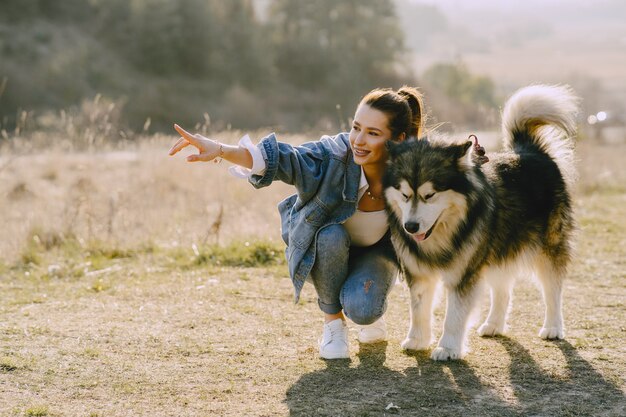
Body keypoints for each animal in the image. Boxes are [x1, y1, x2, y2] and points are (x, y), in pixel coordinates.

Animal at [382, 83, 576, 358]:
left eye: (430, 195)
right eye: (404, 194)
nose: (410, 227)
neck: (446, 232)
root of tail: (528, 150)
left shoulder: (464, 273)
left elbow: (454, 315)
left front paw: (448, 348)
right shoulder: (419, 272)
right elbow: (418, 310)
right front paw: (417, 340)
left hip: (548, 248)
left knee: (553, 290)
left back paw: (553, 327)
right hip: (498, 248)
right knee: (503, 290)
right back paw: (494, 324)